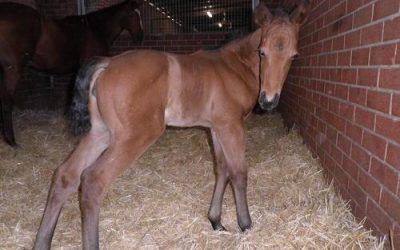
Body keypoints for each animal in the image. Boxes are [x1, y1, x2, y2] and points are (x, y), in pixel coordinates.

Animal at [0, 0, 144, 146]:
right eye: (131, 14)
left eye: (140, 13)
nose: (140, 36)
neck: (96, 30)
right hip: (13, 69)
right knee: (6, 102)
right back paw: (11, 141)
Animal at [33, 1, 310, 248]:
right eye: (262, 52)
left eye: (293, 55)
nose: (268, 101)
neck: (234, 67)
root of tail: (107, 64)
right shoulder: (232, 126)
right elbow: (238, 172)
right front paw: (245, 224)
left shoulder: (216, 127)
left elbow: (221, 169)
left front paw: (216, 221)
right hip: (134, 136)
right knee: (92, 181)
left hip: (100, 133)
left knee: (66, 175)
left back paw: (42, 241)